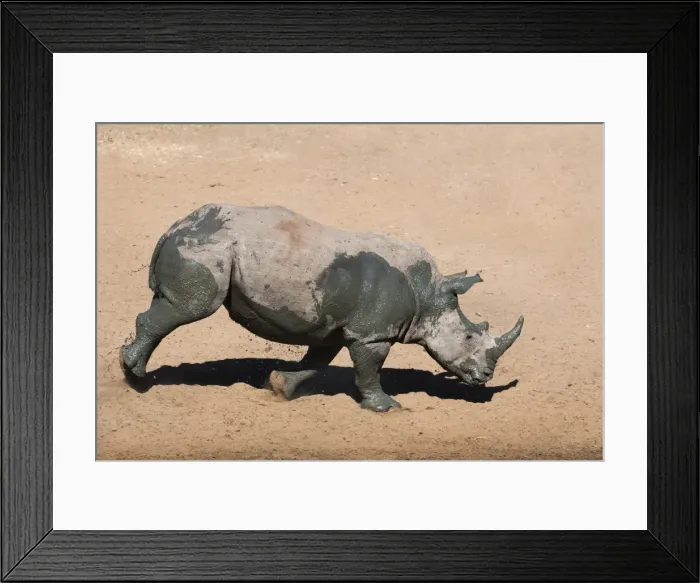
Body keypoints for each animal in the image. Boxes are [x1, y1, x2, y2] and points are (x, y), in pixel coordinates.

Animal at [120, 203, 524, 412]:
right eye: (470, 337)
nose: (486, 377)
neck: (427, 294)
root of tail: (173, 227)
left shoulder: (335, 325)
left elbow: (316, 361)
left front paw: (280, 387)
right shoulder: (372, 333)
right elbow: (369, 370)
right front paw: (386, 407)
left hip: (204, 246)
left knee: (170, 306)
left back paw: (133, 371)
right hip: (206, 249)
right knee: (189, 309)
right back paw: (135, 377)